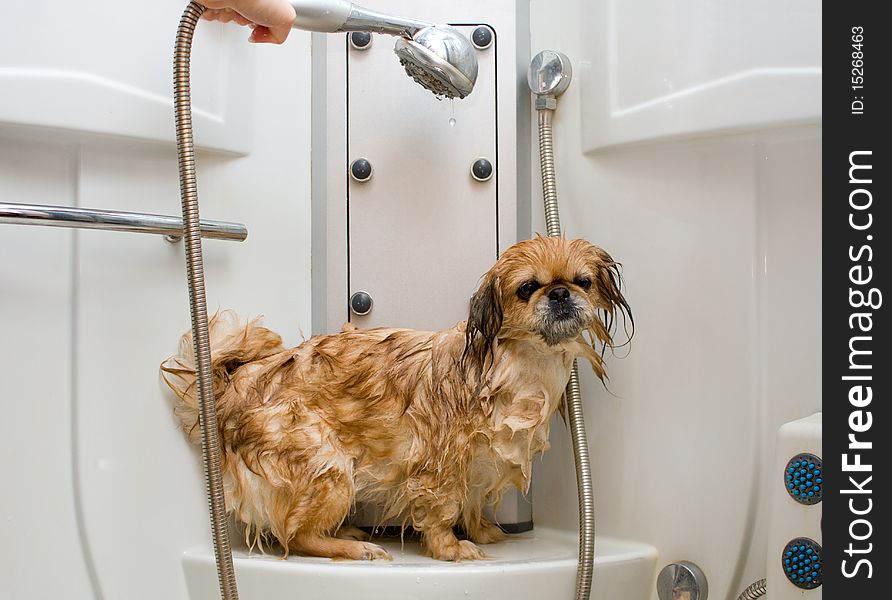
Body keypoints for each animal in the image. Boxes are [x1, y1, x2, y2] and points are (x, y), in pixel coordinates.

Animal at [162, 236, 636, 564]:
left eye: (583, 282)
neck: (521, 364)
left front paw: (481, 530)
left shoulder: (478, 465)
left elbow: (472, 499)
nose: (559, 293)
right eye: (527, 288)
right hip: (329, 468)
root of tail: (234, 384)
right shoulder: (441, 459)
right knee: (296, 536)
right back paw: (354, 549)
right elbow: (443, 508)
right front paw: (451, 548)